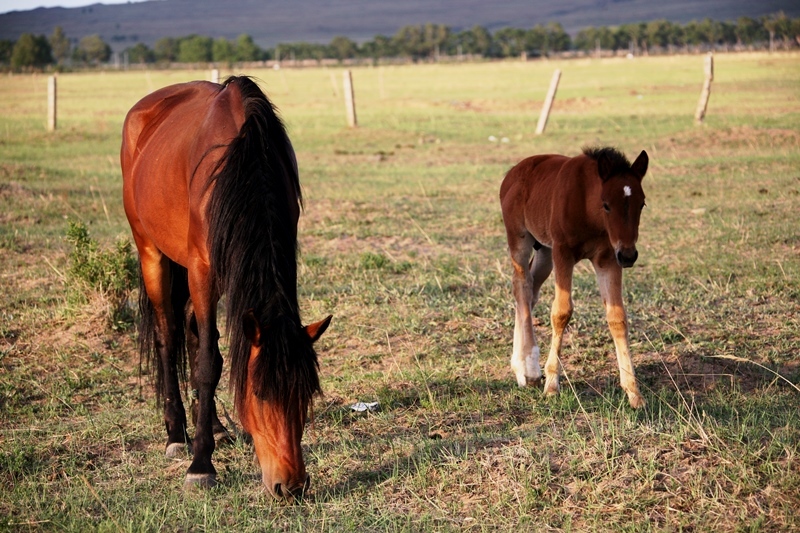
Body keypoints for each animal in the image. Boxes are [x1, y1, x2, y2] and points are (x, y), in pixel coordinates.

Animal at [119, 76, 332, 498]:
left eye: (306, 394)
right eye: (260, 393)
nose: (291, 486)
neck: (246, 161)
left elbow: (208, 350)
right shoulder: (202, 269)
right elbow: (208, 363)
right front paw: (201, 465)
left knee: (191, 331)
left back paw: (216, 427)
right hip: (151, 251)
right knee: (168, 335)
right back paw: (175, 433)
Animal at [500, 145, 648, 408]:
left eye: (642, 204)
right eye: (606, 204)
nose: (629, 255)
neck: (588, 209)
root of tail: (513, 172)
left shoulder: (608, 259)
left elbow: (618, 318)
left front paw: (634, 393)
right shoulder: (563, 253)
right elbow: (561, 312)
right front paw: (551, 385)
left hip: (544, 251)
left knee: (529, 291)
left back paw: (521, 367)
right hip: (520, 239)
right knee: (521, 284)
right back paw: (530, 369)